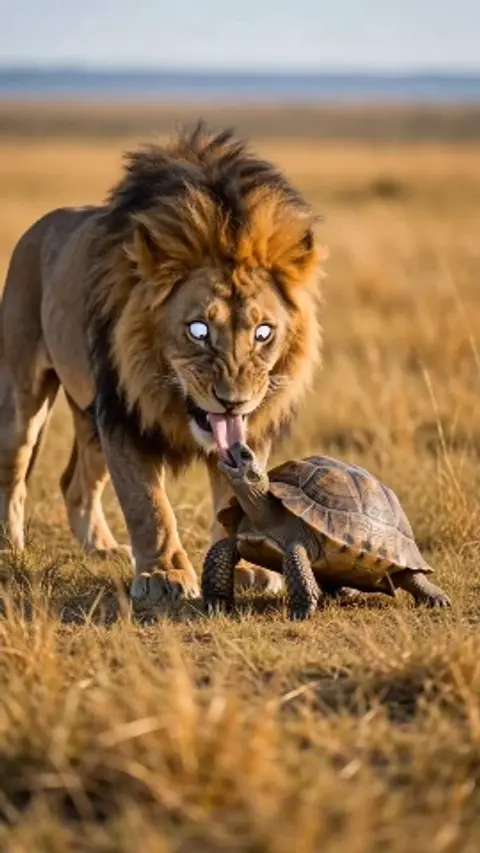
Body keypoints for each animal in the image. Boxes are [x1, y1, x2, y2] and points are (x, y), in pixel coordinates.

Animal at [0, 124, 324, 602]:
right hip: (25, 394)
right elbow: (147, 506)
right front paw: (164, 576)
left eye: (263, 333)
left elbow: (239, 492)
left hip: (91, 417)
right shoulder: (123, 414)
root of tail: (41, 224)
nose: (233, 402)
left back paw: (101, 547)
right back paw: (9, 547)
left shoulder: (246, 429)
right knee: (14, 469)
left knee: (75, 483)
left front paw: (248, 566)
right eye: (198, 330)